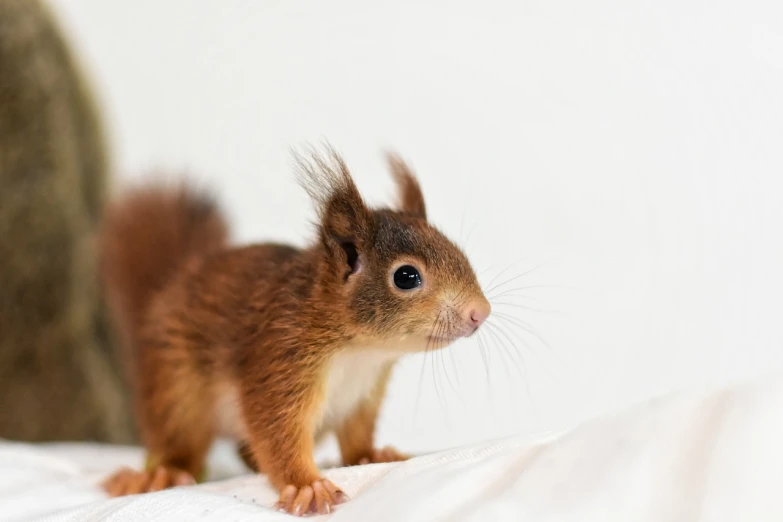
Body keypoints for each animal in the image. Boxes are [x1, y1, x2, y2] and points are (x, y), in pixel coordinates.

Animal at [98, 146, 490, 512]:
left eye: (455, 249)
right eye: (406, 276)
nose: (480, 313)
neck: (361, 350)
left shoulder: (362, 393)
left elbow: (357, 434)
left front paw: (372, 456)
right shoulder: (280, 358)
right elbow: (276, 433)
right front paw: (307, 486)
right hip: (176, 390)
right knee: (178, 444)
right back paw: (159, 473)